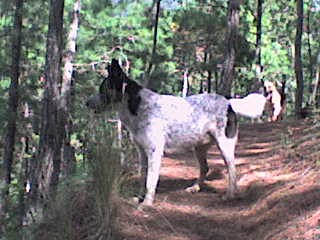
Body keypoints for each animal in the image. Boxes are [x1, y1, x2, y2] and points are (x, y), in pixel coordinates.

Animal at [86, 58, 266, 206]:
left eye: (102, 89)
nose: (86, 103)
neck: (138, 106)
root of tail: (228, 102)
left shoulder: (154, 152)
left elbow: (151, 180)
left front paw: (147, 203)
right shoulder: (142, 152)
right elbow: (143, 177)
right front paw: (139, 198)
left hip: (224, 145)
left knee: (232, 170)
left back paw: (230, 195)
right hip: (199, 148)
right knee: (205, 168)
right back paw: (195, 188)